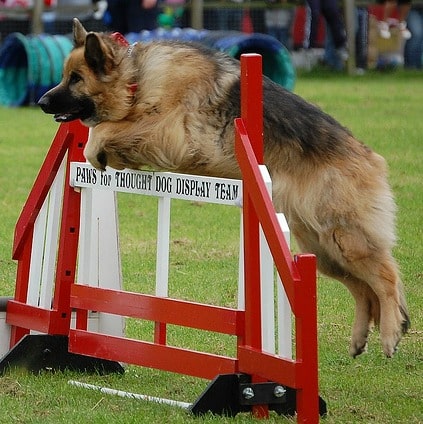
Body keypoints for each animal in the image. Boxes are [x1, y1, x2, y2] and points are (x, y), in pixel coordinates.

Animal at [39, 18, 410, 356]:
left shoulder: (172, 133)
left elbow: (105, 131)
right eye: (64, 75)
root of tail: (372, 157)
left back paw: (391, 332)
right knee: (363, 290)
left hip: (344, 240)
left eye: (75, 79)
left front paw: (99, 151)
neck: (135, 79)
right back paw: (361, 337)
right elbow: (109, 132)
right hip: (321, 251)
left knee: (386, 277)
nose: (42, 102)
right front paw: (111, 157)